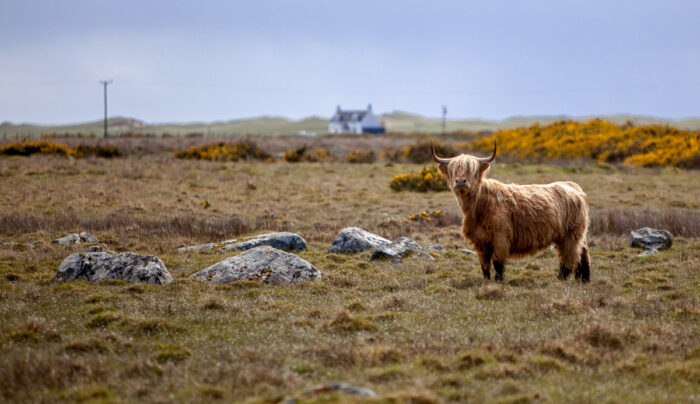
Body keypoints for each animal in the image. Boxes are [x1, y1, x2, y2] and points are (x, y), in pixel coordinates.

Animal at [432, 142, 592, 284]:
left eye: (473, 170)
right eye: (453, 169)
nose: (460, 181)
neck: (478, 206)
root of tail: (573, 186)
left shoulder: (501, 237)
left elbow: (497, 262)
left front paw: (499, 281)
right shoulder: (480, 241)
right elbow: (484, 265)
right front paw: (486, 280)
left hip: (570, 235)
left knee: (570, 257)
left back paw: (560, 279)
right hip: (575, 234)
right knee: (583, 252)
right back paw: (584, 279)